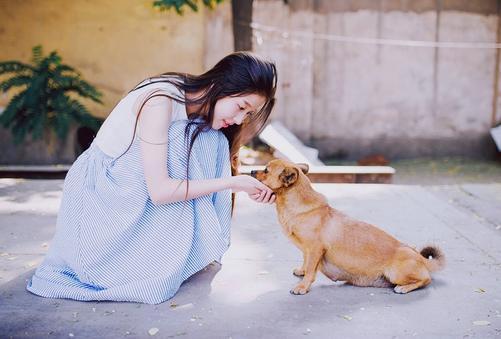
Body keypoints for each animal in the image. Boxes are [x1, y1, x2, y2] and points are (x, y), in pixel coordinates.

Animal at [252, 161, 444, 296]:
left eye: (266, 170)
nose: (252, 171)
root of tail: (420, 257)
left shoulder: (315, 249)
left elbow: (311, 270)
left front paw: (302, 286)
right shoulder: (307, 251)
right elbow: (306, 263)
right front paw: (302, 270)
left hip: (396, 273)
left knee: (426, 279)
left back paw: (403, 288)